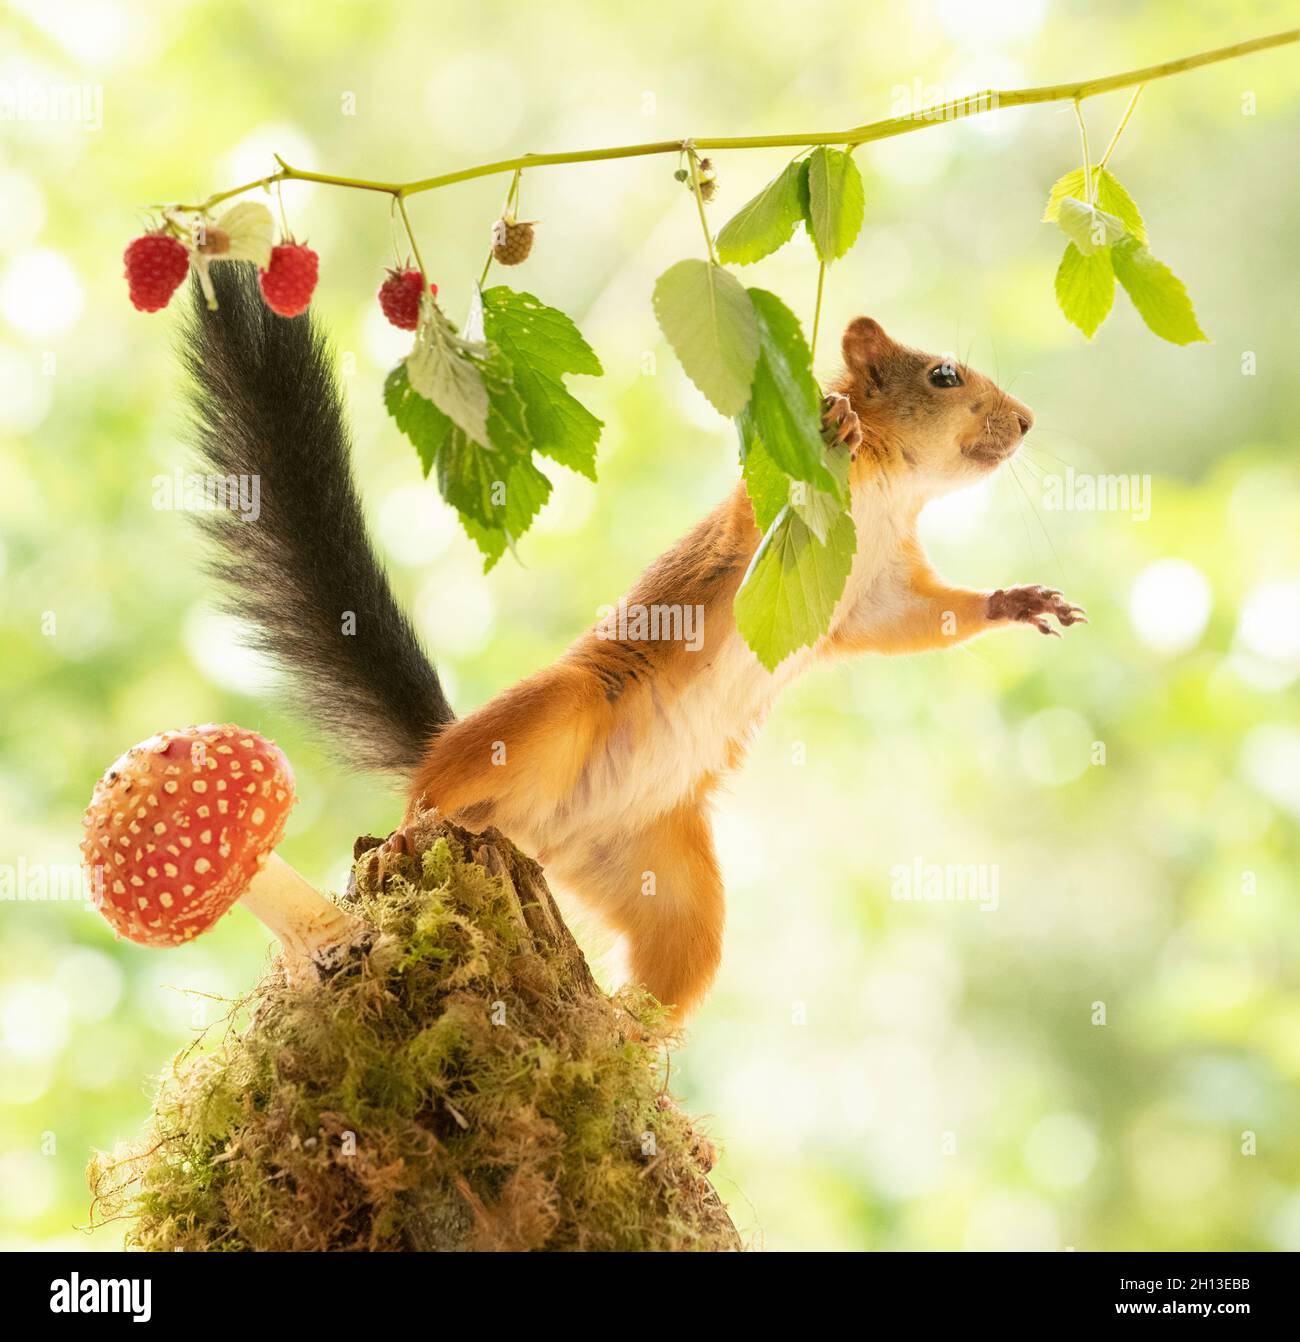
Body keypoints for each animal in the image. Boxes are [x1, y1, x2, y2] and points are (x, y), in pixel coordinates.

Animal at [186, 265, 1083, 1016]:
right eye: (944, 376)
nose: (1028, 421)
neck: (890, 491)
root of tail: (540, 835)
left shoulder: (873, 595)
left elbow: (921, 620)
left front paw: (1017, 600)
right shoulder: (756, 522)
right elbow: (764, 521)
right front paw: (837, 426)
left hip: (663, 878)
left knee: (675, 963)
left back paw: (632, 1045)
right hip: (557, 709)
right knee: (432, 792)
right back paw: (415, 823)